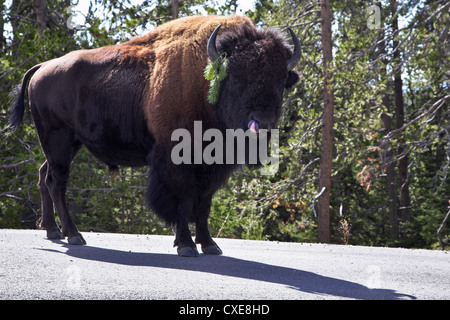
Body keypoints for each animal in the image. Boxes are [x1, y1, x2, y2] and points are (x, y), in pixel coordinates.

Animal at [7, 15, 300, 258]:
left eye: (281, 80)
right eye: (237, 78)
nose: (263, 123)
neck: (205, 81)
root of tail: (43, 67)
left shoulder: (211, 167)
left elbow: (204, 204)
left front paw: (209, 245)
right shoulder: (176, 161)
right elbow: (183, 200)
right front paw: (185, 245)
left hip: (68, 144)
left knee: (44, 176)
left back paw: (53, 231)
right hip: (58, 140)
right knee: (57, 182)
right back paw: (74, 235)